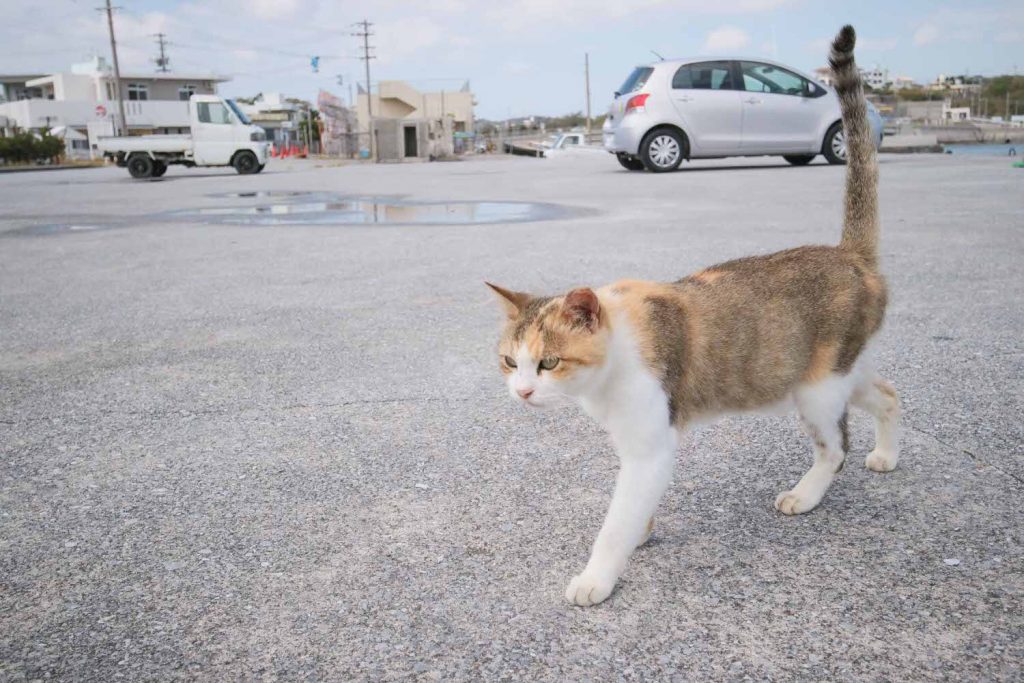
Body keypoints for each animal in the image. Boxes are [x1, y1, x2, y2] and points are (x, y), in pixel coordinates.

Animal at [487, 26, 897, 606]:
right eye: (509, 362)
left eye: (548, 363)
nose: (522, 392)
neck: (609, 371)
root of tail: (847, 254)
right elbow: (637, 505)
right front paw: (641, 531)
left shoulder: (649, 445)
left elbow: (616, 520)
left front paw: (597, 576)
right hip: (835, 371)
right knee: (887, 394)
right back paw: (887, 453)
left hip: (817, 391)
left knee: (836, 447)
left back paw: (806, 493)